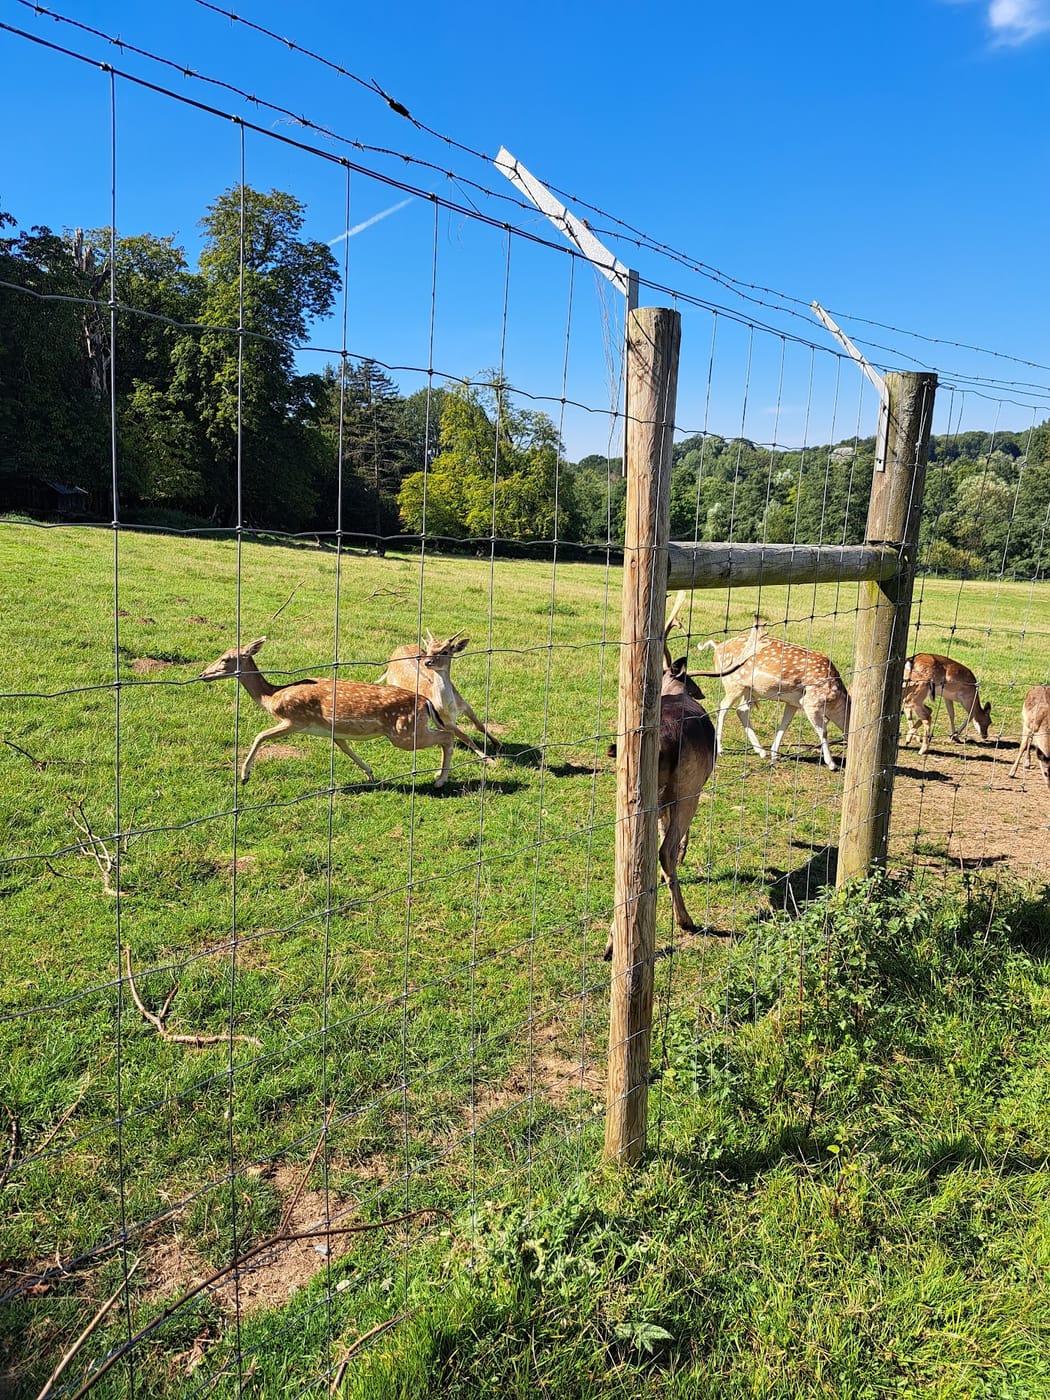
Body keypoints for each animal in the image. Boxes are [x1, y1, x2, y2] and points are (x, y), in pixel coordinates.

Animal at [198, 637, 478, 788]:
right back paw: (439, 776)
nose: (202, 675)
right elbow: (345, 747)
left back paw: (440, 780)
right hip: (413, 729)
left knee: (447, 737)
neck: (272, 697)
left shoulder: (295, 719)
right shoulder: (336, 730)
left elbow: (260, 736)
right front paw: (370, 774)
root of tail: (425, 702)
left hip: (403, 734)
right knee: (446, 736)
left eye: (225, 659)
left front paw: (244, 776)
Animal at [696, 620, 851, 771]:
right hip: (733, 684)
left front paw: (774, 756)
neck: (834, 698)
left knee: (741, 710)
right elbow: (823, 731)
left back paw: (761, 751)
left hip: (748, 689)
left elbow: (785, 724)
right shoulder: (811, 702)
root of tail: (717, 646)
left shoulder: (794, 703)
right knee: (723, 708)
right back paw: (720, 750)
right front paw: (832, 764)